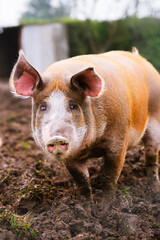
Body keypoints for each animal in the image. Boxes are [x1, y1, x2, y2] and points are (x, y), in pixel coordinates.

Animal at [10, 49, 160, 201]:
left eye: (73, 105)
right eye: (43, 107)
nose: (56, 138)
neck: (92, 147)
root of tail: (138, 56)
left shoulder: (119, 141)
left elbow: (110, 176)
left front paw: (107, 204)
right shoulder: (71, 158)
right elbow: (81, 180)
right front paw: (86, 204)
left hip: (155, 121)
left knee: (152, 156)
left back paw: (154, 189)